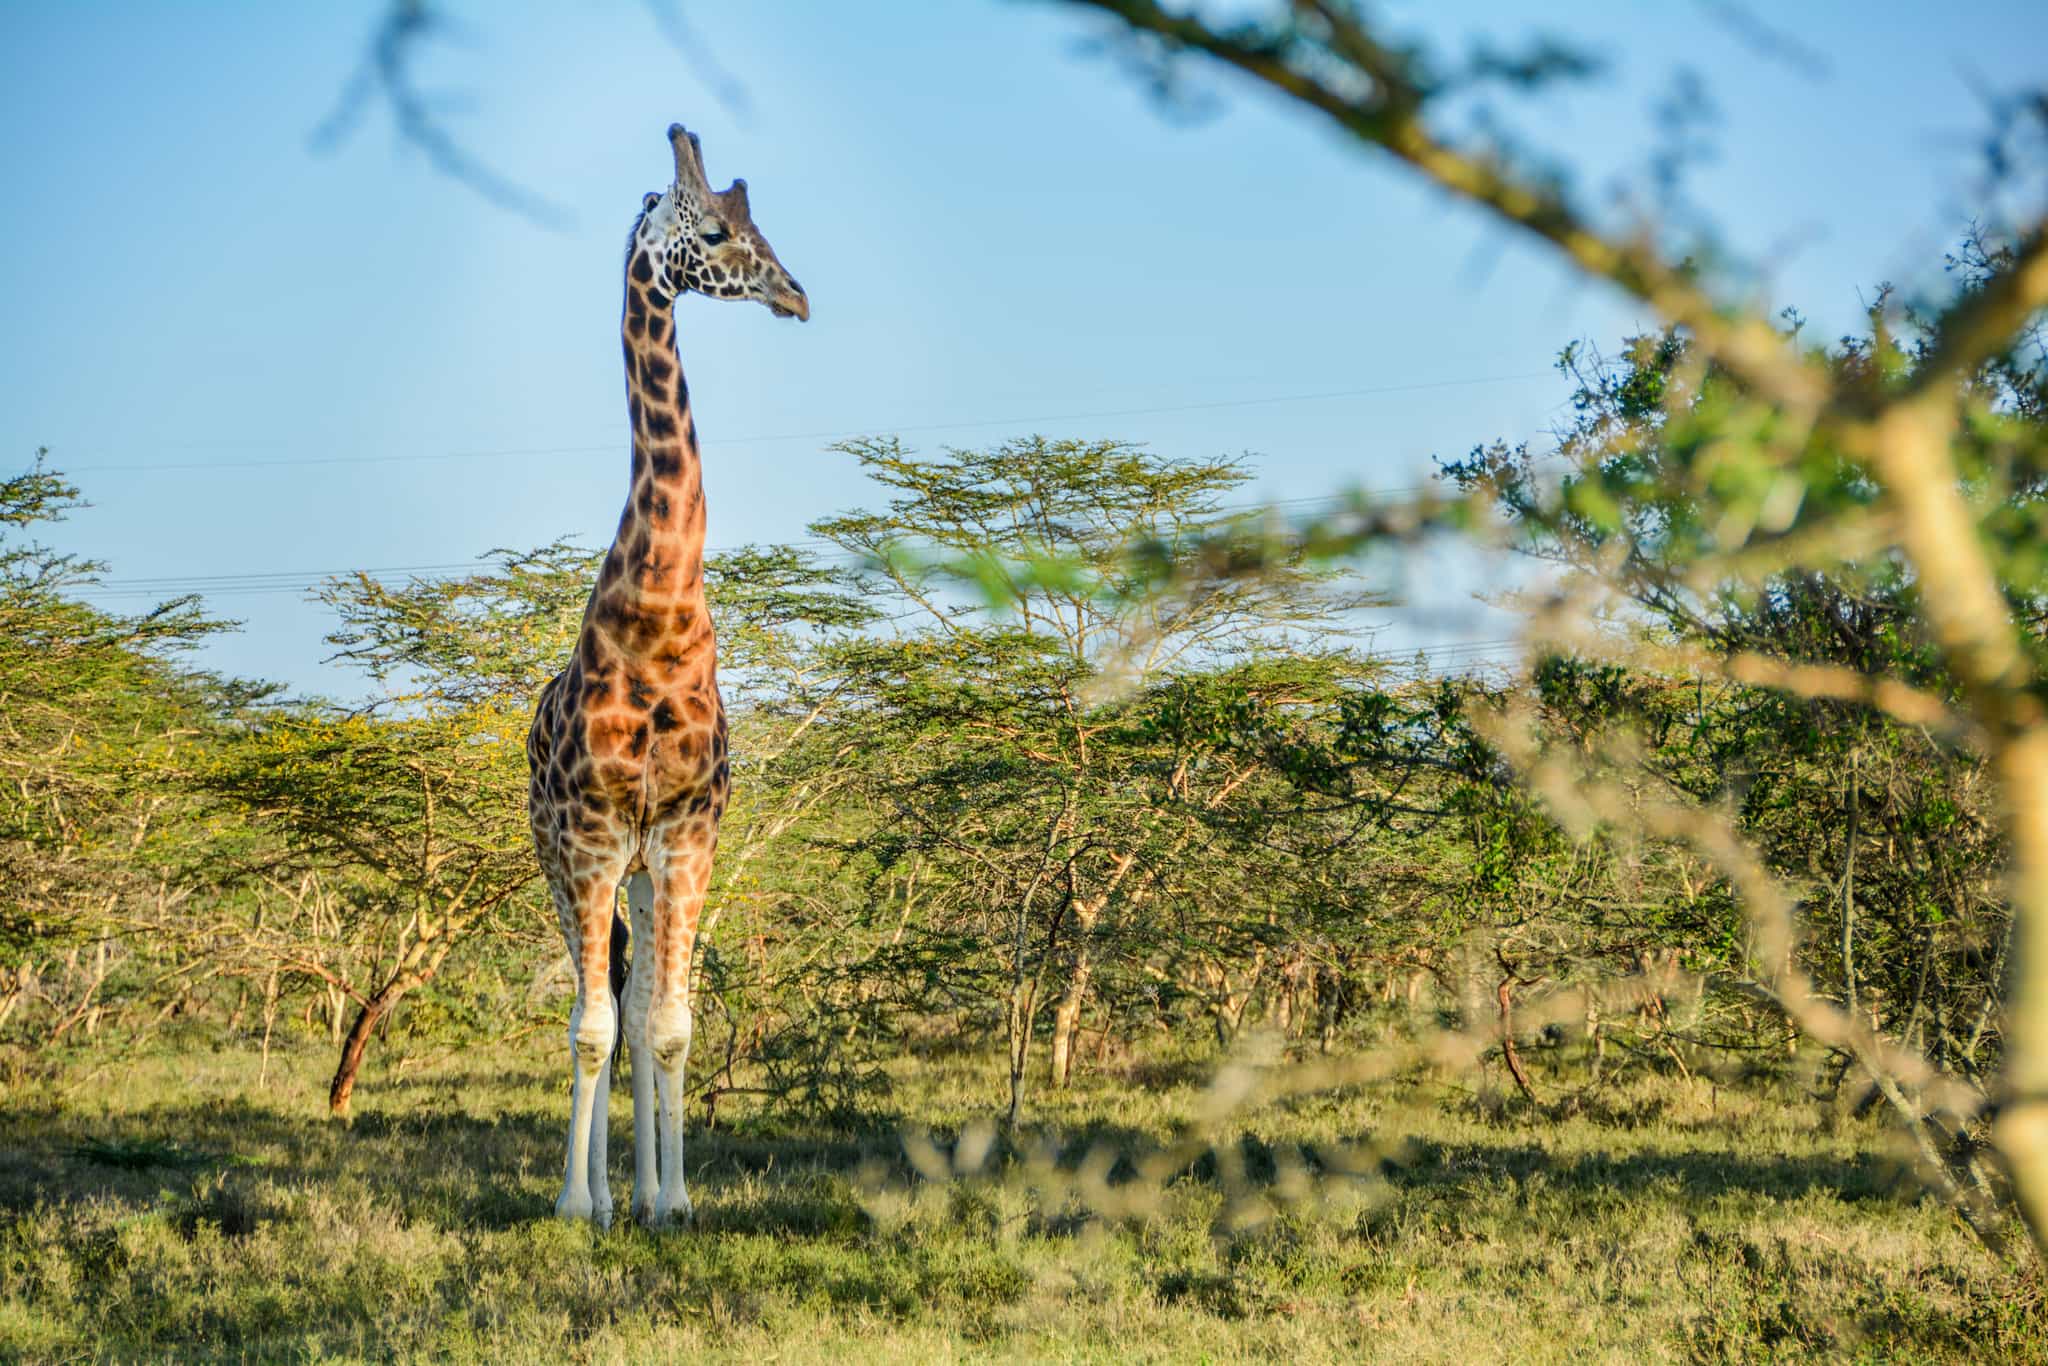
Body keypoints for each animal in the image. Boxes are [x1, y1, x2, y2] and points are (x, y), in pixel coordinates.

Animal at [527, 122, 808, 1228]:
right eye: (717, 232)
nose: (794, 294)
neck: (654, 622)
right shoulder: (593, 832)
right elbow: (592, 1028)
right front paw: (578, 1206)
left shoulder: (688, 833)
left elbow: (669, 1025)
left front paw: (677, 1200)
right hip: (566, 858)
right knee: (596, 999)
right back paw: (603, 1196)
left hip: (645, 874)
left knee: (639, 995)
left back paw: (641, 1193)